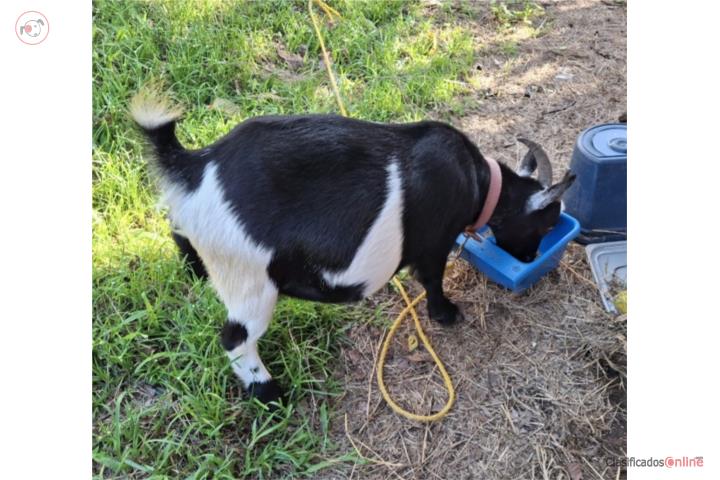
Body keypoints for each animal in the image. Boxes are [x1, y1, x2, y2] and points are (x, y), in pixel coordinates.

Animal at [130, 91, 576, 403]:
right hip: (250, 280)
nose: (530, 258)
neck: (481, 183)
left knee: (179, 232)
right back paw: (270, 394)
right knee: (236, 338)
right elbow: (432, 279)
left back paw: (193, 270)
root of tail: (197, 167)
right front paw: (446, 314)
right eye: (546, 221)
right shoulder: (435, 242)